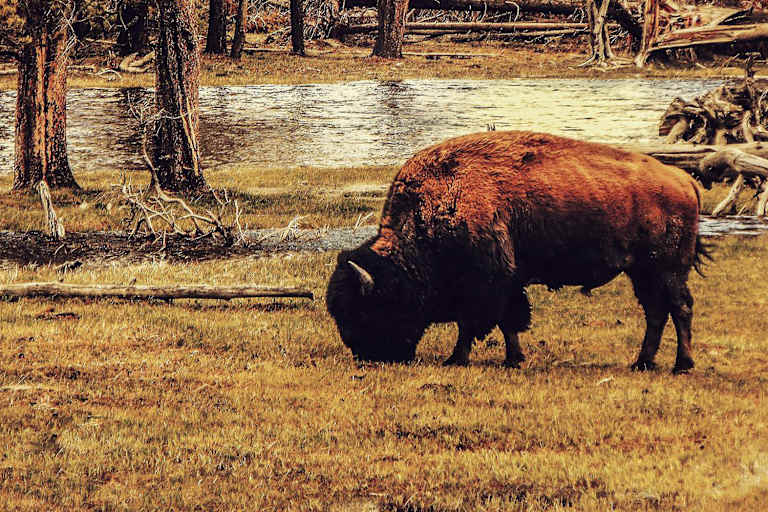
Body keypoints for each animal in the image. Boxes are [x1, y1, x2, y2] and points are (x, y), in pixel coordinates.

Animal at [327, 131, 708, 373]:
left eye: (366, 310)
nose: (369, 356)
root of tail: (684, 180)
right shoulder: (503, 284)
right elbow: (505, 323)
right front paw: (513, 359)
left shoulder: (488, 283)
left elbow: (480, 323)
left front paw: (458, 359)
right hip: (642, 271)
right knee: (656, 313)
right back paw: (642, 363)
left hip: (667, 270)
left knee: (680, 308)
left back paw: (682, 365)